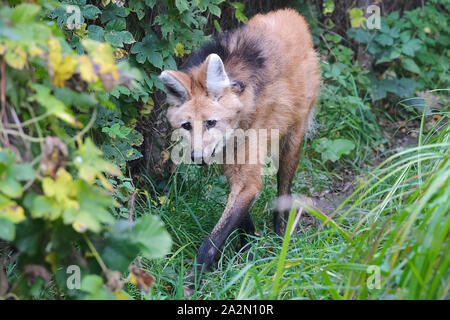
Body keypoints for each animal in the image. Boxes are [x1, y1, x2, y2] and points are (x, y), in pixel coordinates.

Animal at [158, 9, 320, 296]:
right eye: (187, 126)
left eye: (211, 122)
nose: (197, 158)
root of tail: (293, 15)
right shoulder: (229, 162)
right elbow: (239, 213)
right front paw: (247, 248)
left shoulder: (245, 170)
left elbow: (212, 240)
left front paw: (190, 283)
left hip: (294, 137)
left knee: (284, 185)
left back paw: (280, 234)